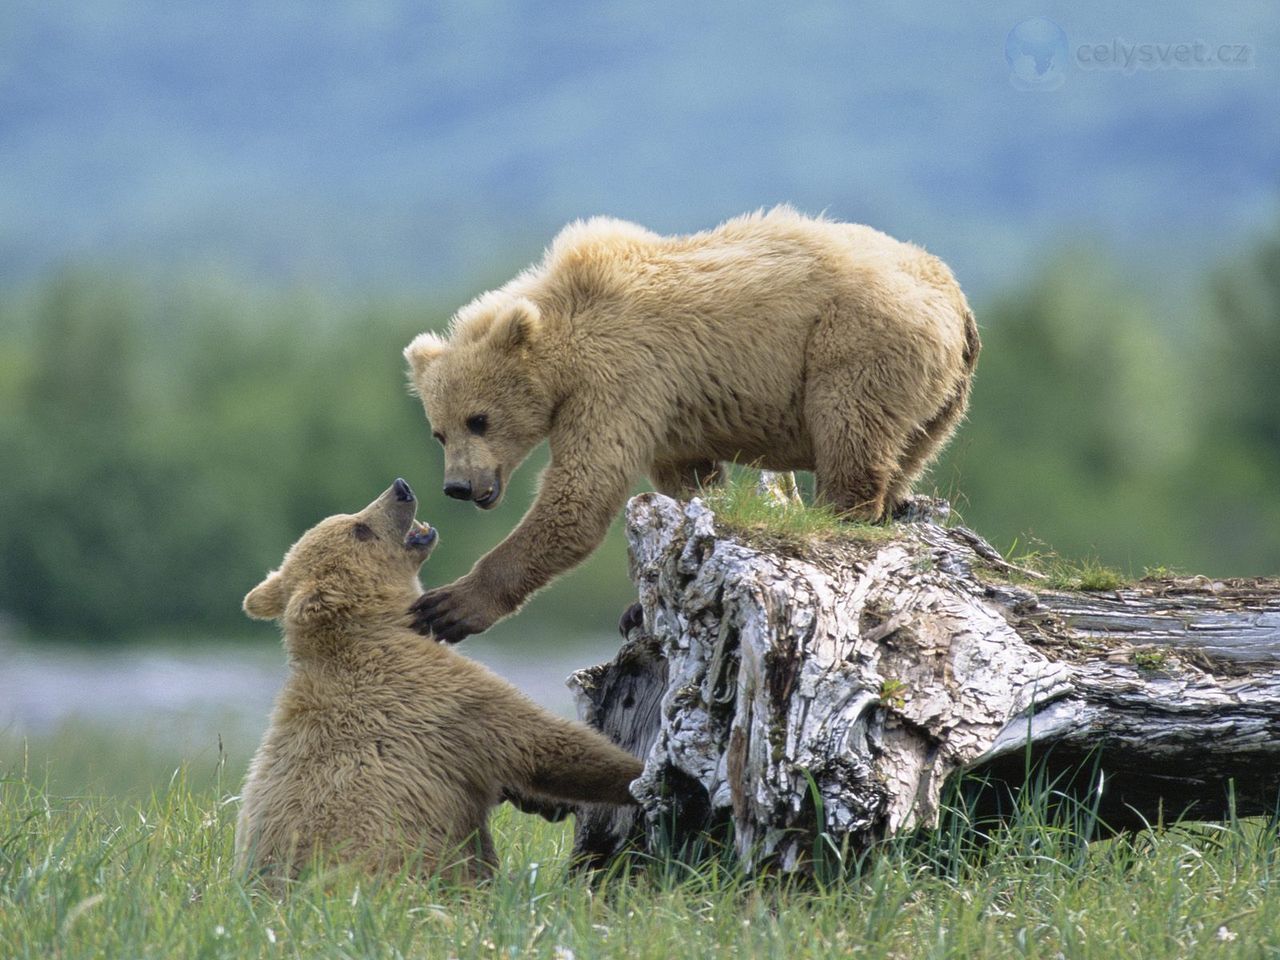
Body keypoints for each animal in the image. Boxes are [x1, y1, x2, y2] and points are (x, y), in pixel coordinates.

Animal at [234, 481, 640, 885]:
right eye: (359, 529)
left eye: (351, 519)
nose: (400, 488)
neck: (378, 628)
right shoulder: (436, 698)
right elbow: (542, 743)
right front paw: (637, 775)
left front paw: (547, 802)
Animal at [404, 204, 972, 640]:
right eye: (439, 431)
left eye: (479, 420)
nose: (458, 486)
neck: (564, 339)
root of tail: (956, 300)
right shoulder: (668, 412)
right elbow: (688, 482)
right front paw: (641, 602)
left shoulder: (620, 379)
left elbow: (580, 495)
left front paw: (448, 605)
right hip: (940, 399)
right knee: (906, 451)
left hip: (858, 340)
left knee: (849, 427)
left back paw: (839, 512)